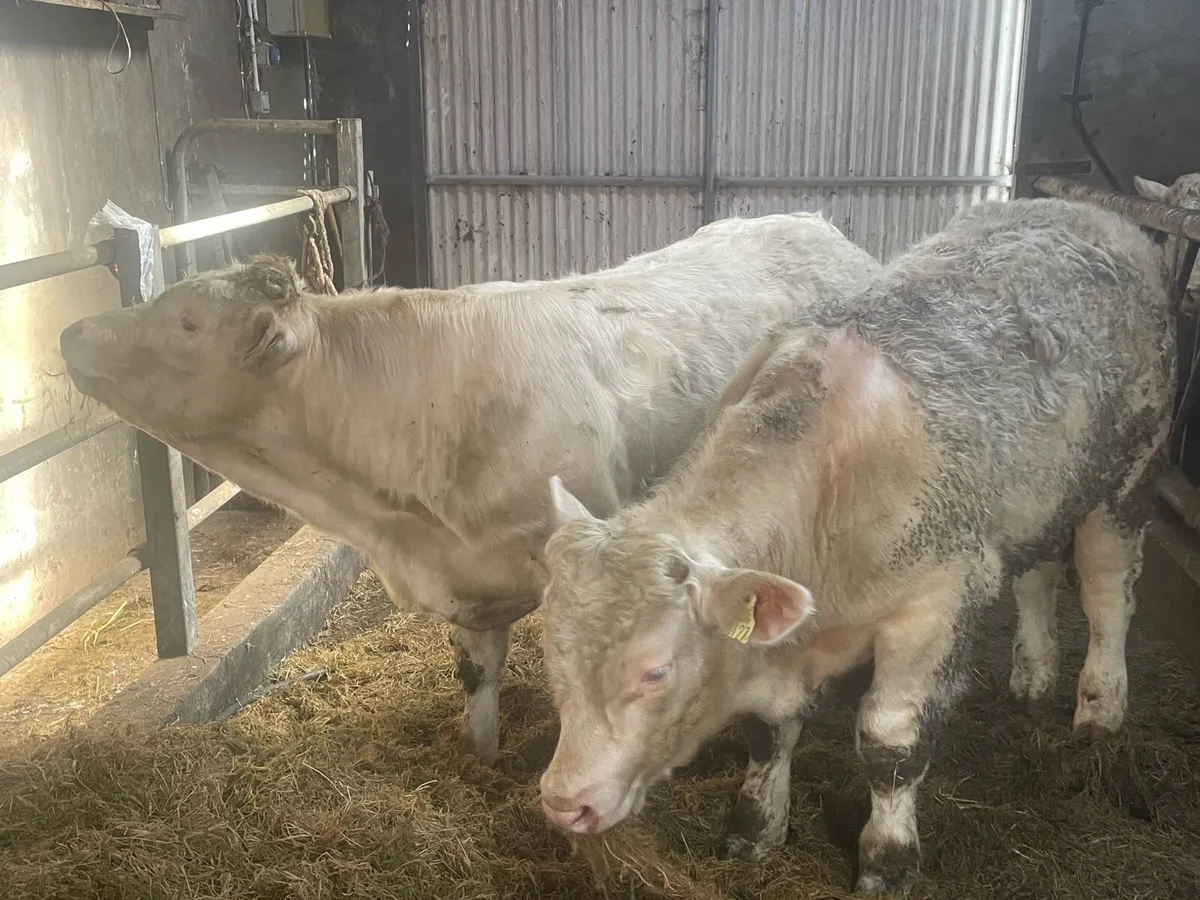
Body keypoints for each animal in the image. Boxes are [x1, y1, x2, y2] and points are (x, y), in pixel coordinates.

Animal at [59, 212, 880, 765]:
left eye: (188, 321)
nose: (71, 333)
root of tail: (819, 227)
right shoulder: (466, 583)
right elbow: (475, 675)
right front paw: (481, 758)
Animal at [537, 197, 1174, 892]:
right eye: (549, 652)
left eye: (655, 671)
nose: (564, 803)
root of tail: (1087, 212)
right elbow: (768, 732)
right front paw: (756, 826)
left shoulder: (933, 606)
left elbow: (892, 744)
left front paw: (887, 860)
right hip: (1043, 495)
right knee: (1037, 575)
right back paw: (1033, 673)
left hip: (1129, 477)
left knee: (1108, 592)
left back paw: (1099, 709)